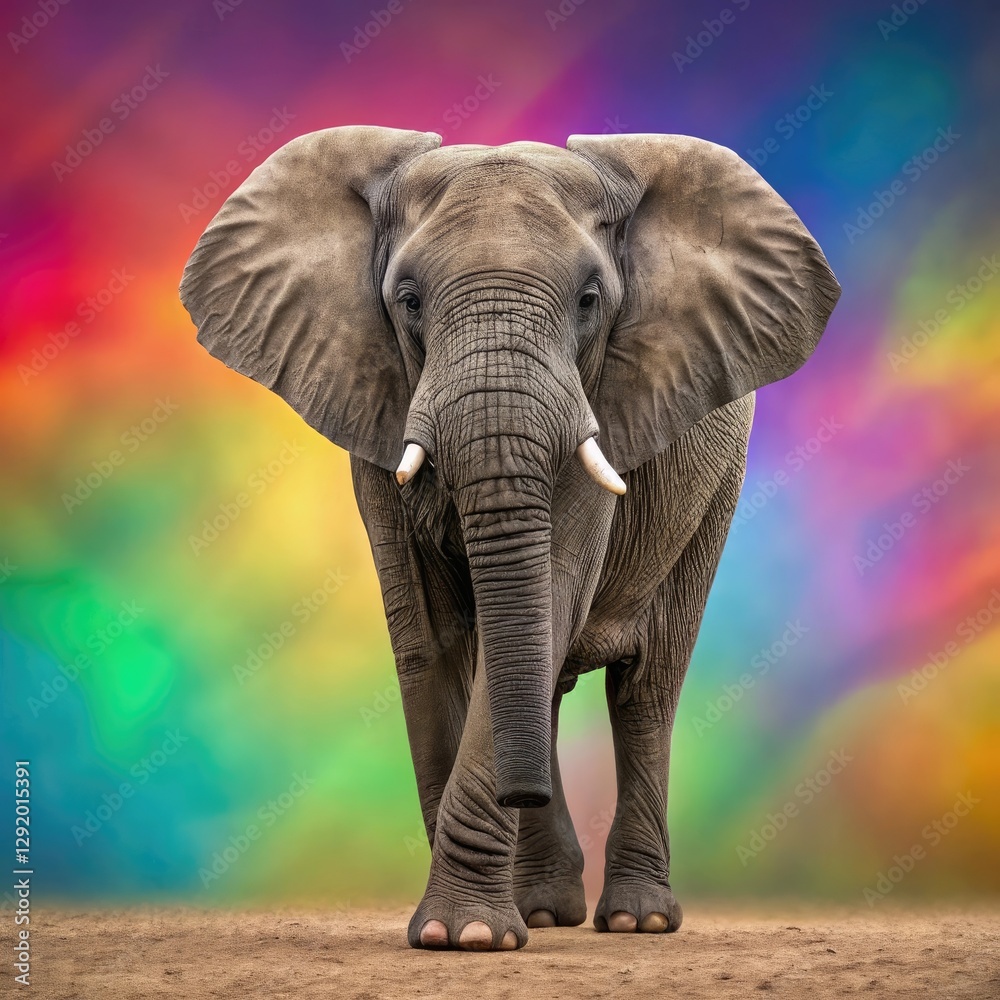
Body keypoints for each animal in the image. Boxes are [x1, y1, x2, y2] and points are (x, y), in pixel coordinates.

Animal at [180, 125, 839, 951]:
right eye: (408, 301)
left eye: (589, 301)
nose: (519, 793)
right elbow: (432, 641)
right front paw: (466, 930)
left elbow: (545, 603)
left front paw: (464, 934)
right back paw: (547, 910)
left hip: (715, 492)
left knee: (647, 689)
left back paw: (638, 919)